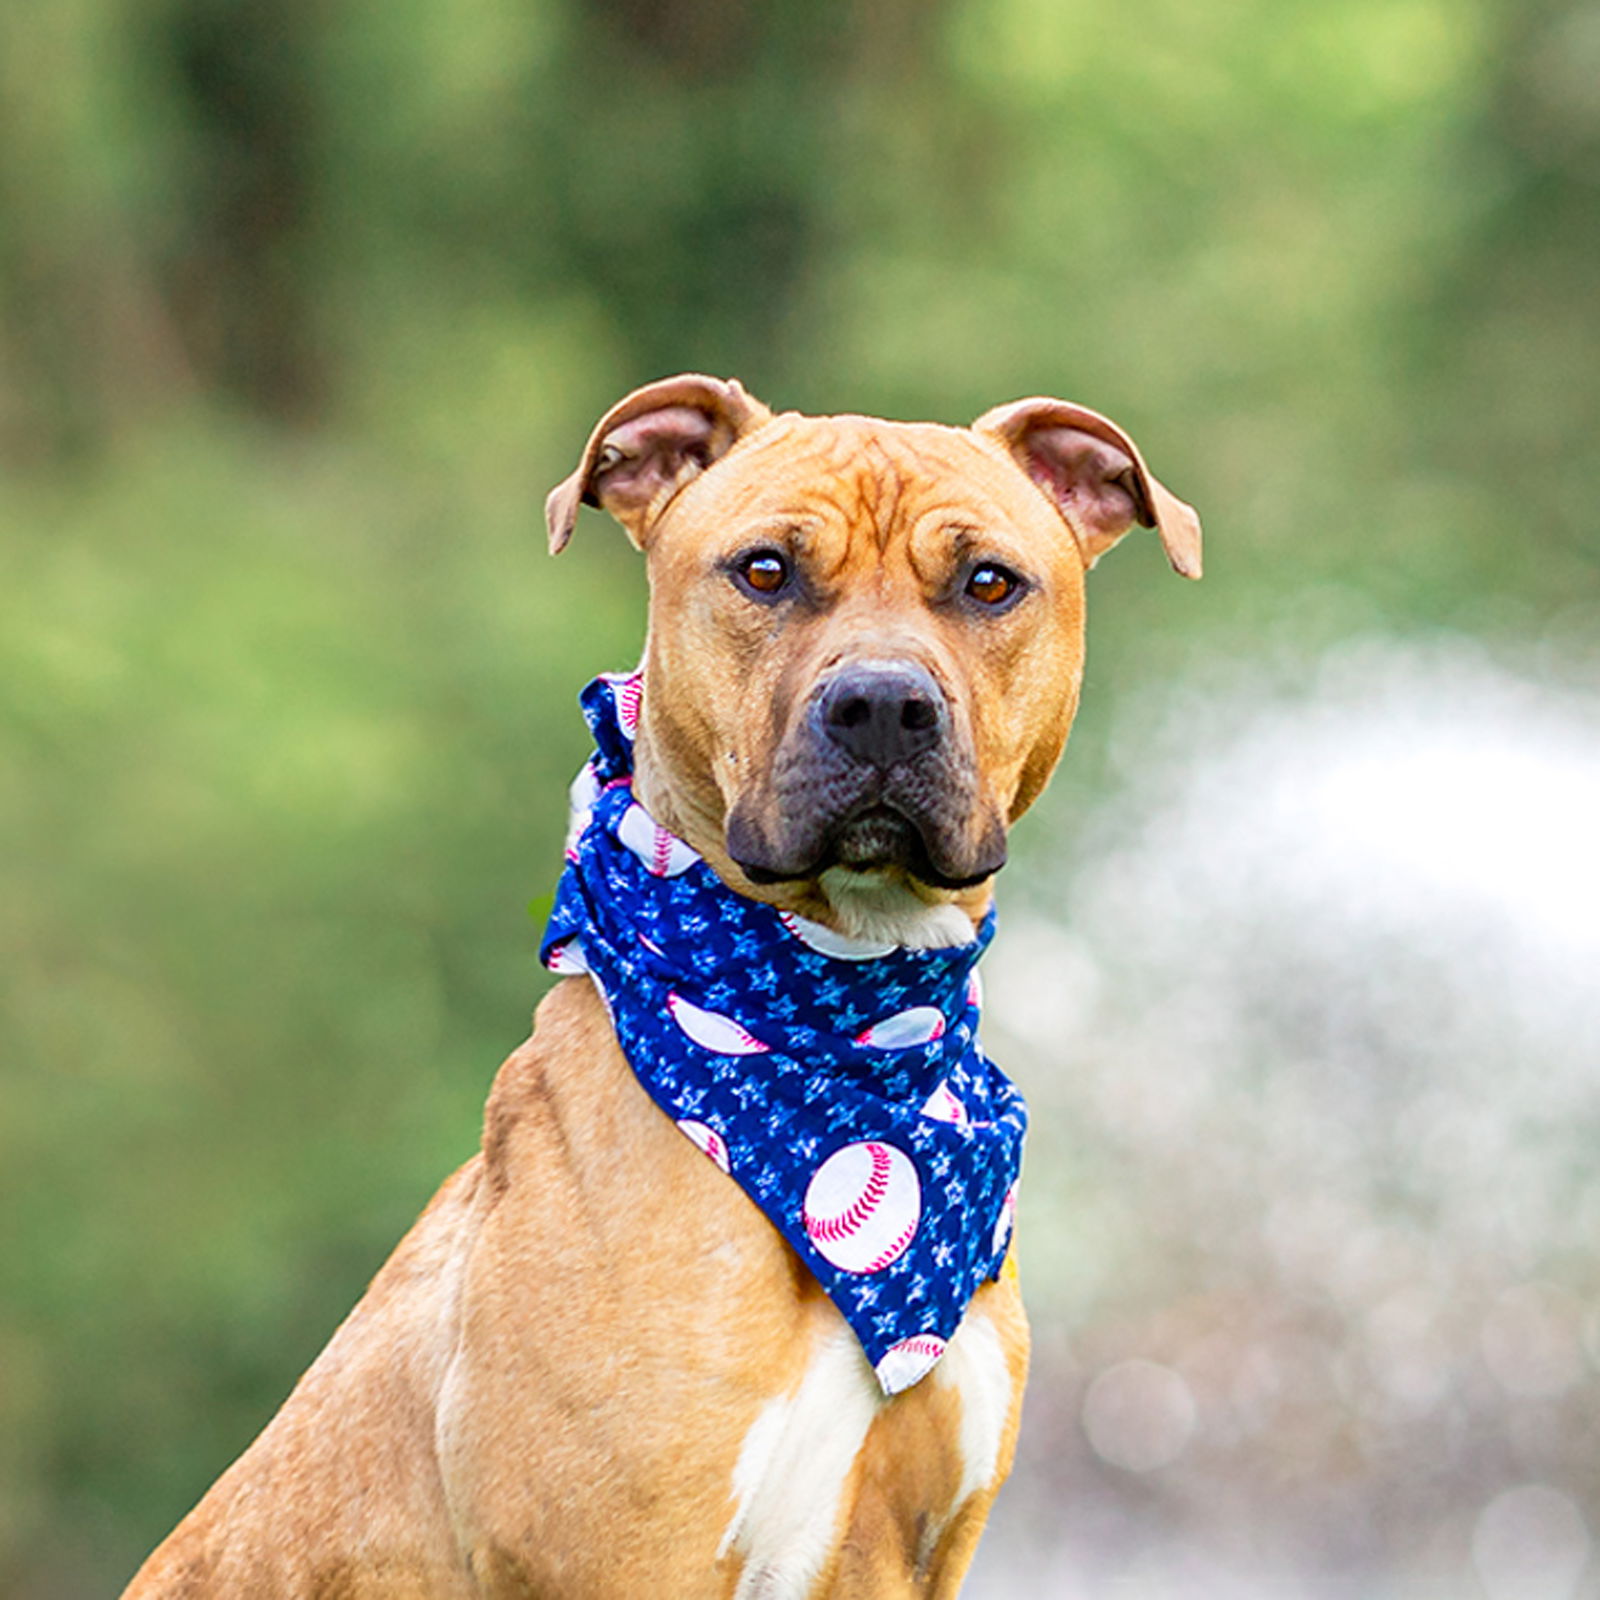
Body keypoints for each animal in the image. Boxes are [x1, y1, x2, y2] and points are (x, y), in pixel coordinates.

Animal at [121, 377, 1203, 1600]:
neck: (845, 1042)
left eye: (988, 583)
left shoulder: (926, 1547)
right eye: (765, 571)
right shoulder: (622, 1552)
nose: (881, 705)